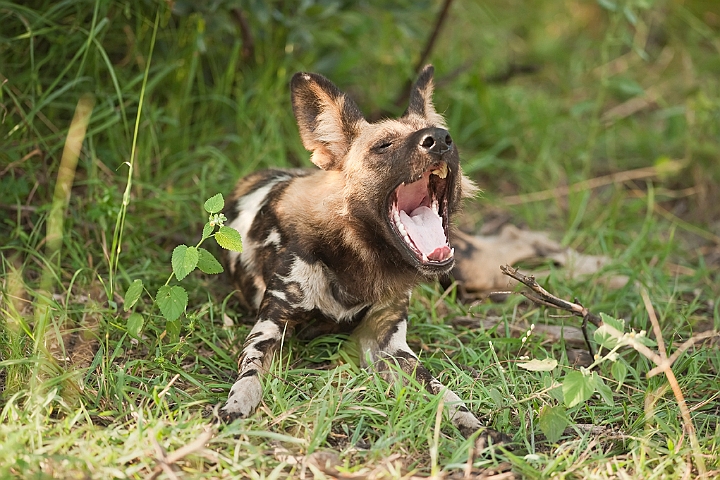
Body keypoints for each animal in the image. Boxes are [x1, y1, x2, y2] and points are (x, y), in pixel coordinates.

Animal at [219, 64, 500, 442]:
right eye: (383, 145)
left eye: (448, 136)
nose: (440, 139)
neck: (358, 258)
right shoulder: (268, 329)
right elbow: (249, 377)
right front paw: (236, 406)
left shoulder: (387, 344)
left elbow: (442, 390)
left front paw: (471, 423)